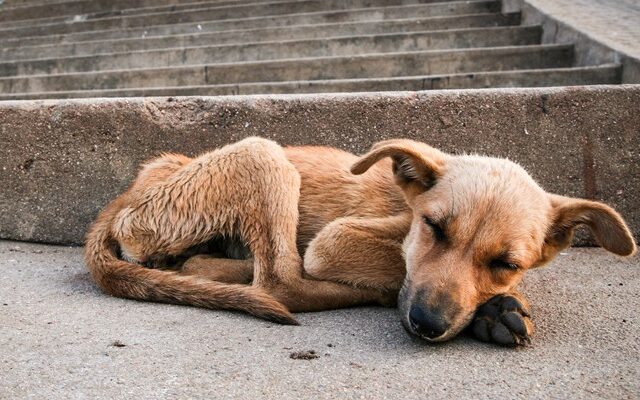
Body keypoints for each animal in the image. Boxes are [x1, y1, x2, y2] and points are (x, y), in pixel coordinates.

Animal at [84, 136, 636, 346]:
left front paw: (496, 305)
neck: (405, 207)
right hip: (262, 153)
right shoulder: (334, 240)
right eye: (435, 227)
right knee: (282, 282)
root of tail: (131, 191)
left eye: (506, 262)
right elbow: (395, 267)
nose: (427, 324)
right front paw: (492, 309)